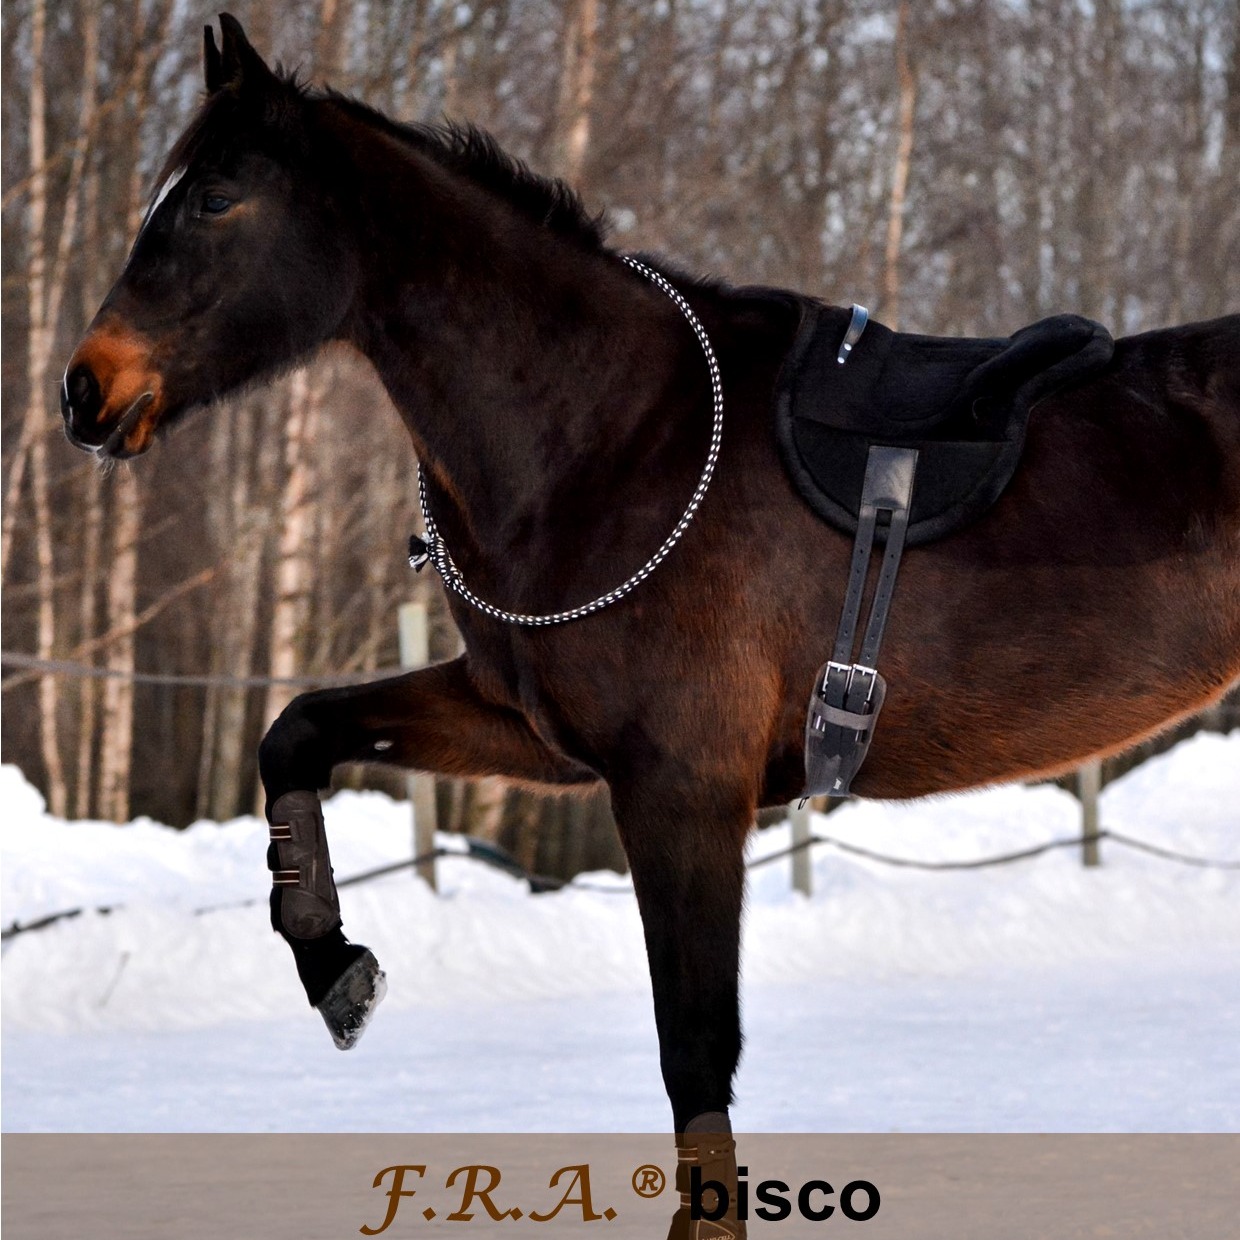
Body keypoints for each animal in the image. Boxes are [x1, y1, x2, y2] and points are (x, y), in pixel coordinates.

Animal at [62, 14, 1239, 1234]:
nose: (84, 391)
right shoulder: (533, 732)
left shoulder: (682, 788)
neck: (614, 431)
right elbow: (297, 730)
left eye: (214, 198)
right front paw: (329, 960)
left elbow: (695, 1051)